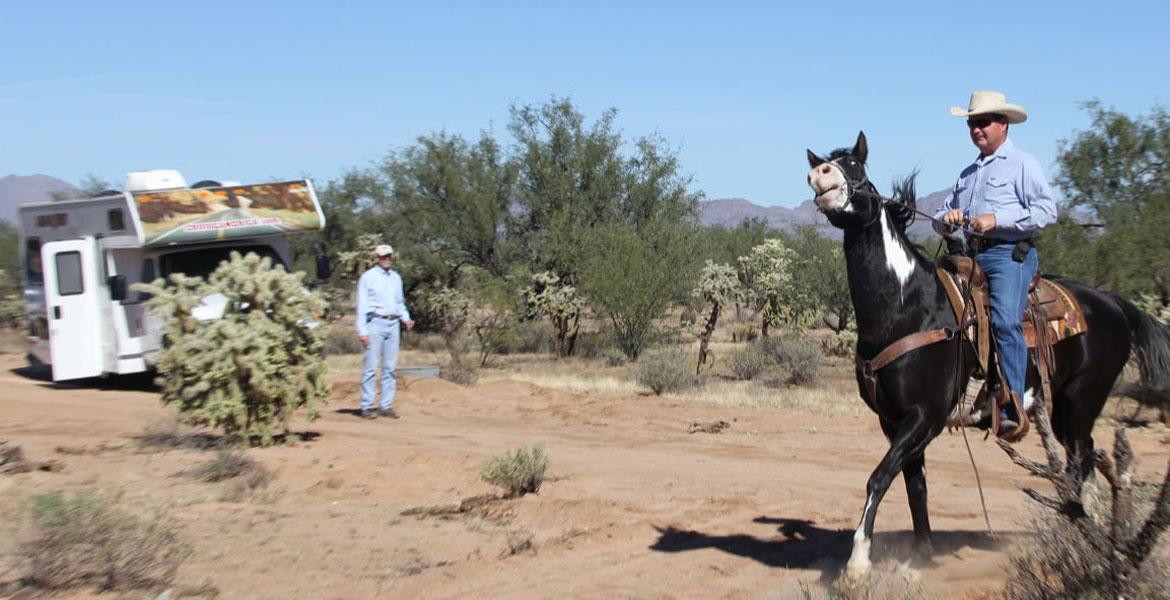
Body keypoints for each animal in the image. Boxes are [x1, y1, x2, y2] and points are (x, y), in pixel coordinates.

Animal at [804, 132, 1170, 575]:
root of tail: (1113, 302)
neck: (907, 307)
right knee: (1083, 461)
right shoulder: (893, 420)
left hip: (1080, 402)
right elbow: (913, 484)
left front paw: (858, 562)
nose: (821, 174)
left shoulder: (925, 415)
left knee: (1080, 463)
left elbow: (879, 477)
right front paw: (921, 555)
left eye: (855, 165)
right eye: (824, 162)